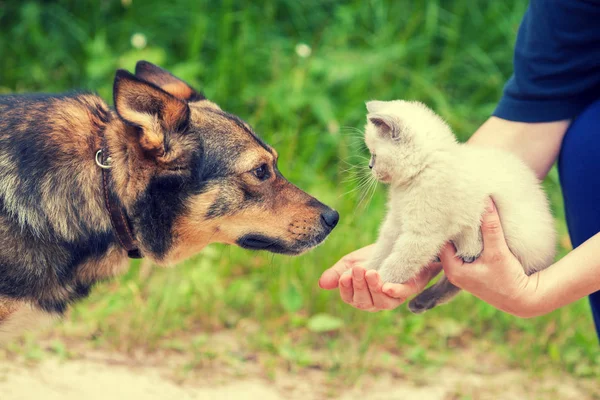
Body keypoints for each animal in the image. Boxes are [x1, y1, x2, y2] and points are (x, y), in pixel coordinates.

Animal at [364, 99, 556, 312]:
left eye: (374, 155)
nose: (370, 167)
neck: (422, 172)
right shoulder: (396, 221)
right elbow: (382, 249)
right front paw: (365, 273)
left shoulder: (422, 235)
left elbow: (398, 263)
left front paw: (378, 283)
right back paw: (421, 301)